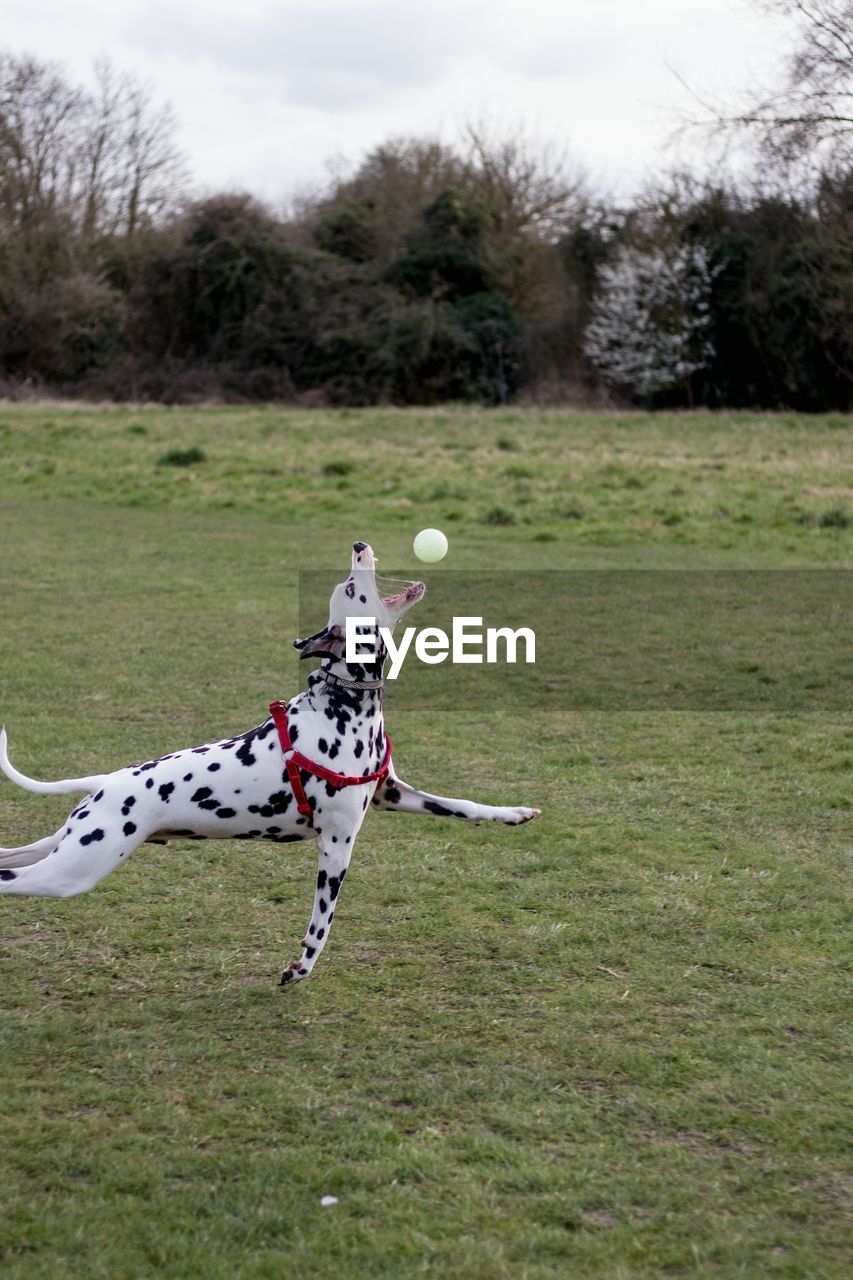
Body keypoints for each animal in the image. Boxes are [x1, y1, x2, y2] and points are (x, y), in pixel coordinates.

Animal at [0, 537, 537, 977]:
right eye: (352, 586)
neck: (342, 704)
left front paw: (513, 813)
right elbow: (322, 922)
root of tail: (107, 780)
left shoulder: (393, 794)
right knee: (9, 878)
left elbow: (465, 806)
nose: (358, 545)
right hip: (73, 870)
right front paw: (301, 967)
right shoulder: (336, 846)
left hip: (65, 846)